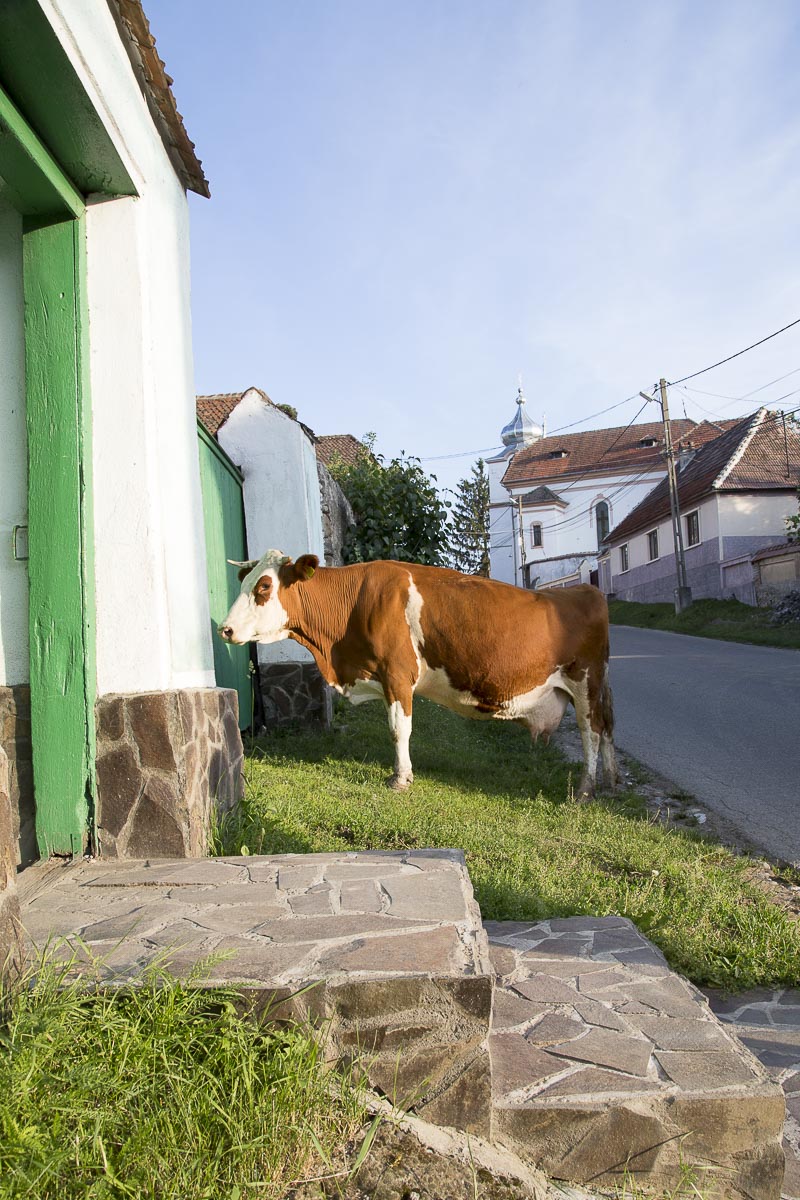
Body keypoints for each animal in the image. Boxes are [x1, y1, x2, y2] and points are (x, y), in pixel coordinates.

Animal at [219, 551, 617, 799]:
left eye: (264, 586)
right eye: (244, 582)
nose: (225, 629)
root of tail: (585, 589)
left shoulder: (397, 674)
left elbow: (399, 729)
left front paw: (400, 778)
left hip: (585, 681)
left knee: (592, 730)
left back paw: (586, 789)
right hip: (596, 685)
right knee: (608, 728)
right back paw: (611, 780)